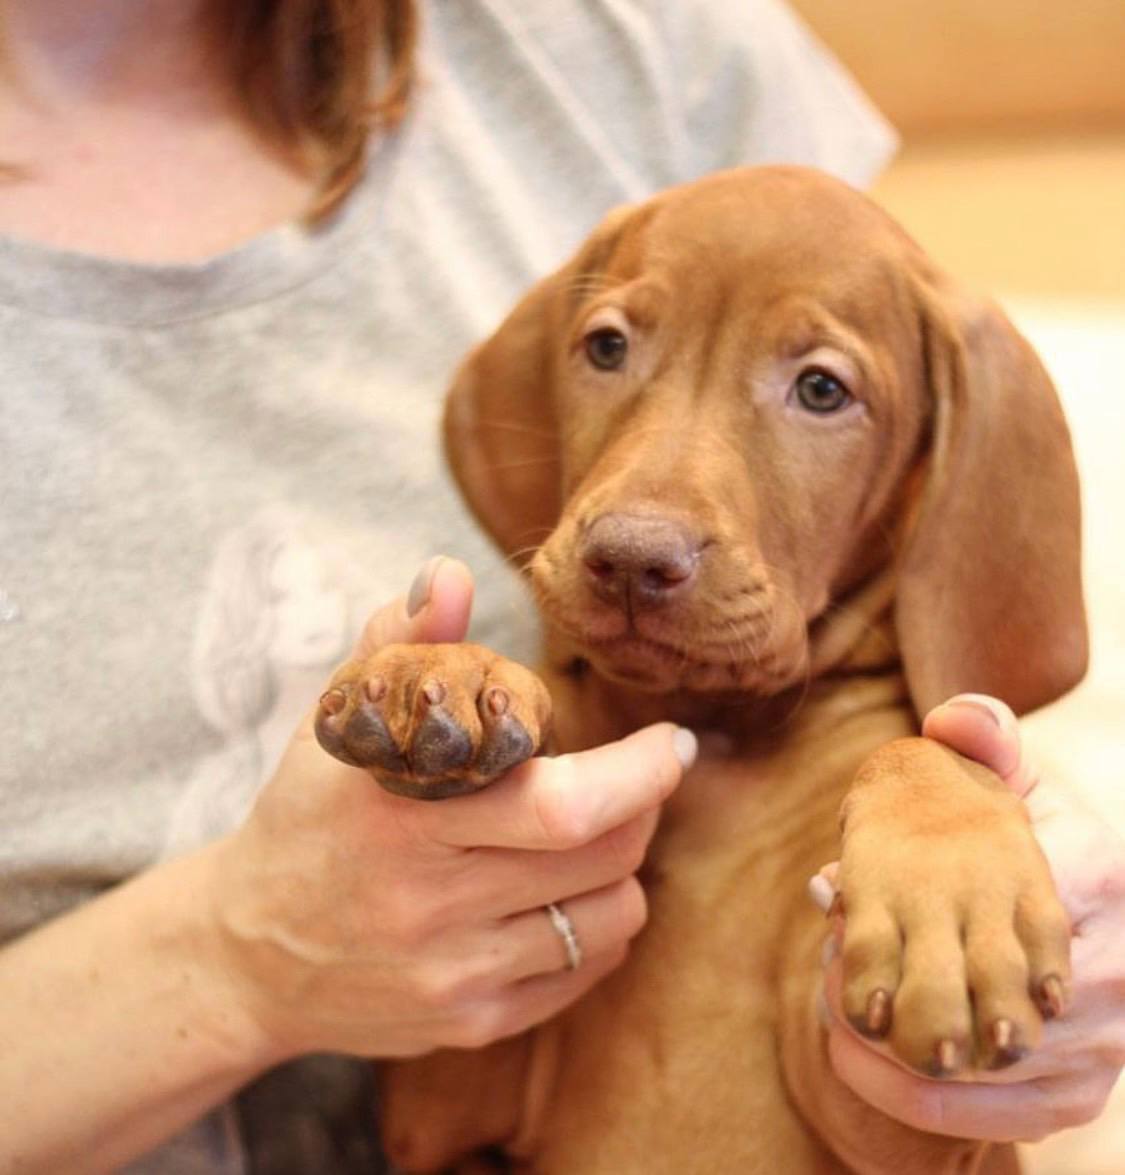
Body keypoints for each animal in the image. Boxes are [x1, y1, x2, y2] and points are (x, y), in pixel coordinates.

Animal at [315, 168, 1081, 1175]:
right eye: (606, 346)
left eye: (821, 390)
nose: (630, 558)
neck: (716, 737)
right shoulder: (444, 1107)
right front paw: (439, 665)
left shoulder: (899, 1119)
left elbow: (921, 750)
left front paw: (952, 891)